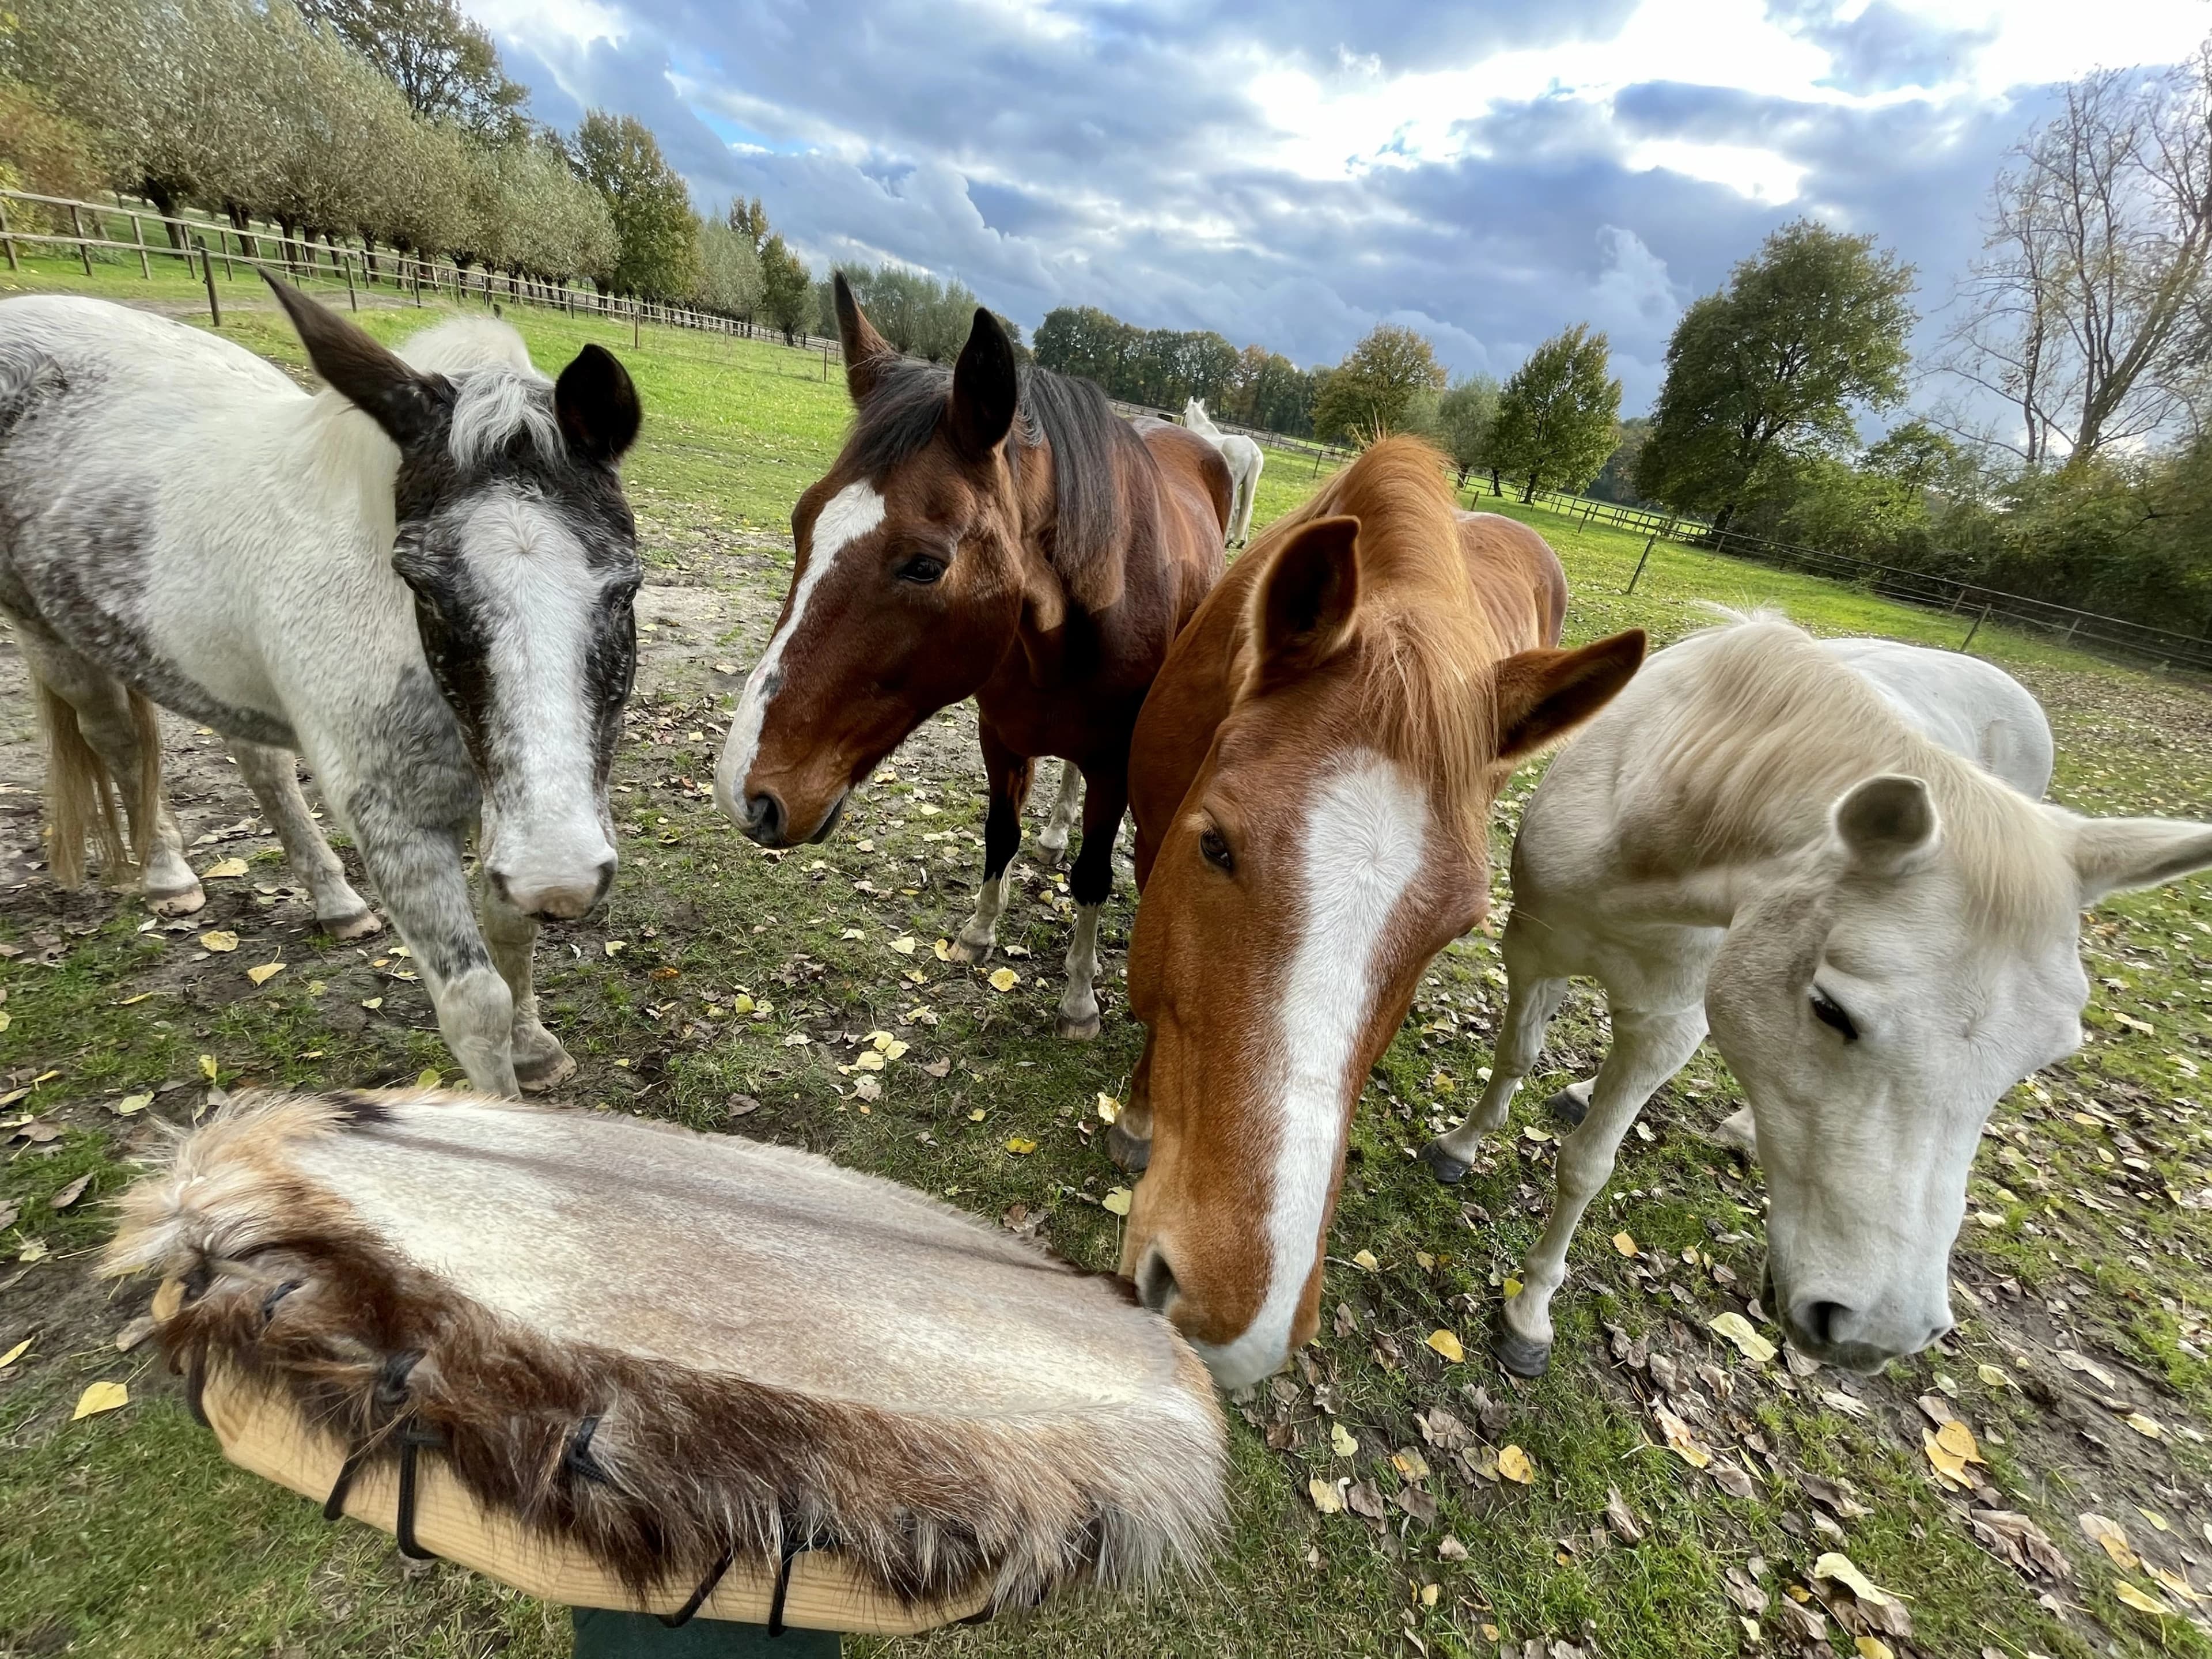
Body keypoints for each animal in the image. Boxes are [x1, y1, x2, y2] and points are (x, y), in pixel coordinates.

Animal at [0, 282, 642, 1095]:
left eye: (625, 588)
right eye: (421, 587)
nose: (561, 879)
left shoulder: (516, 813)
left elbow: (512, 934)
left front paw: (536, 1047)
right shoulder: (397, 824)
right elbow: (476, 1006)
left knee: (261, 764)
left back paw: (335, 903)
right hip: (48, 638)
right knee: (116, 739)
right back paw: (169, 874)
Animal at [716, 274, 1229, 1041]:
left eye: (925, 566)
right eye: (802, 521)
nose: (747, 795)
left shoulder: (1116, 763)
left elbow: (1094, 875)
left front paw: (1079, 996)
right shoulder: (1001, 739)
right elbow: (999, 834)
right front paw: (980, 932)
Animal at [1183, 399, 1263, 547]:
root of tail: (1253, 450)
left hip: (1235, 483)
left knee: (1236, 509)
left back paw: (1229, 539)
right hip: (1249, 484)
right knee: (1248, 510)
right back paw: (1243, 541)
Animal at [1418, 613, 2212, 1377]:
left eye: (2041, 1061)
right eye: (1832, 1010)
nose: (1880, 1332)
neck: (1649, 828)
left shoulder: (1668, 1020)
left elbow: (1587, 1165)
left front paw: (1529, 1316)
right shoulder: (1535, 949)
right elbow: (1515, 1057)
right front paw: (1459, 1149)